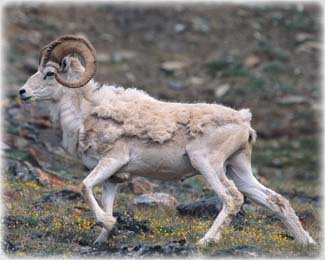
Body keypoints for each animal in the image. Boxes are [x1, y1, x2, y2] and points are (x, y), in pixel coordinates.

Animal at [18, 35, 314, 246]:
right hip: (238, 169)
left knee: (232, 198)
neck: (86, 113)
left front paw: (110, 226)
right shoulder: (114, 178)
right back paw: (306, 243)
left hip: (208, 164)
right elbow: (104, 201)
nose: (22, 92)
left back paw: (206, 241)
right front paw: (104, 237)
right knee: (276, 200)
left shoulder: (111, 161)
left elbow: (84, 187)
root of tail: (244, 123)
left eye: (49, 74)